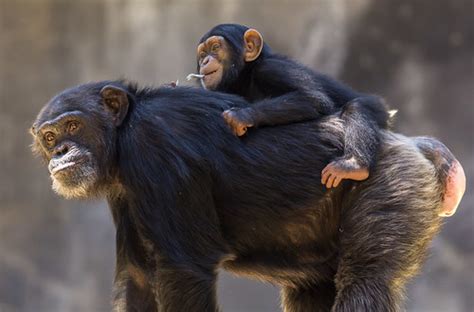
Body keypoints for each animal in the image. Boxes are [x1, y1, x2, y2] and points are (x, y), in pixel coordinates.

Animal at [31, 81, 464, 312]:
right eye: (49, 136)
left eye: (74, 125)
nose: (60, 151)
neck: (122, 139)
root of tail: (416, 144)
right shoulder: (125, 196)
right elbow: (138, 279)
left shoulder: (156, 148)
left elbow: (185, 270)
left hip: (392, 181)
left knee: (366, 280)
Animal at [193, 23, 392, 189]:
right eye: (202, 55)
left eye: (215, 48)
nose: (205, 61)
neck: (245, 75)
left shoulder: (273, 69)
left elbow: (313, 99)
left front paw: (240, 116)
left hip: (377, 108)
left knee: (356, 106)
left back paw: (354, 164)